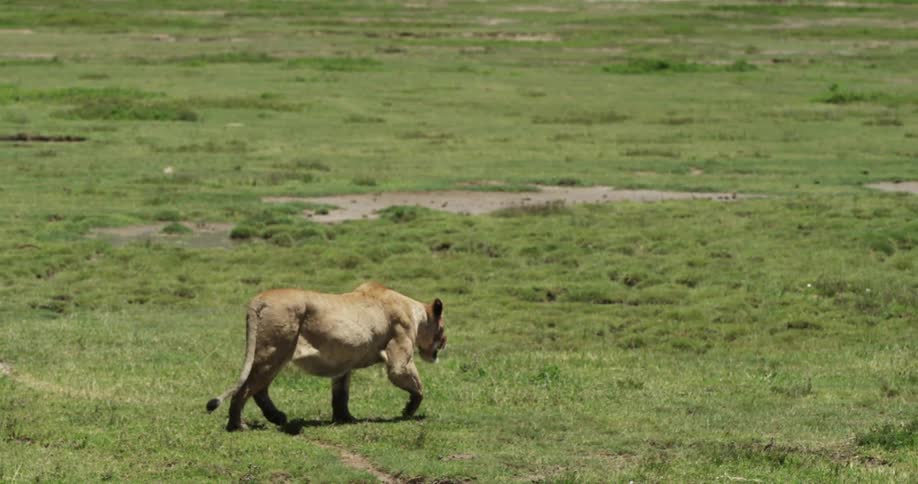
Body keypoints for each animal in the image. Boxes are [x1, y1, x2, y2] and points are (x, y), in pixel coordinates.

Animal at [206, 282, 447, 431]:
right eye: (443, 328)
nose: (445, 343)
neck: (415, 312)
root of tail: (259, 299)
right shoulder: (399, 355)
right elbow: (418, 386)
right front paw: (408, 410)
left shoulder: (344, 363)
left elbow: (341, 395)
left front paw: (345, 419)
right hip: (274, 351)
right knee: (246, 389)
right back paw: (238, 425)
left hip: (272, 354)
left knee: (258, 389)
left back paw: (277, 417)